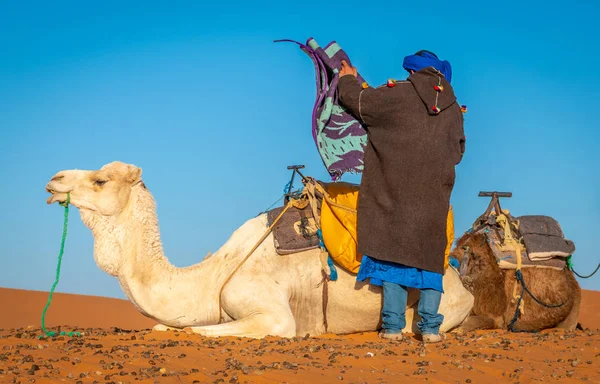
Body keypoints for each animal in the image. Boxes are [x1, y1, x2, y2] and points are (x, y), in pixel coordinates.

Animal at [44, 162, 474, 340]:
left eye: (100, 180)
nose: (54, 179)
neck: (215, 275)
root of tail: (462, 280)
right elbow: (165, 326)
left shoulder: (273, 312)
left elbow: (200, 331)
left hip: (444, 302)